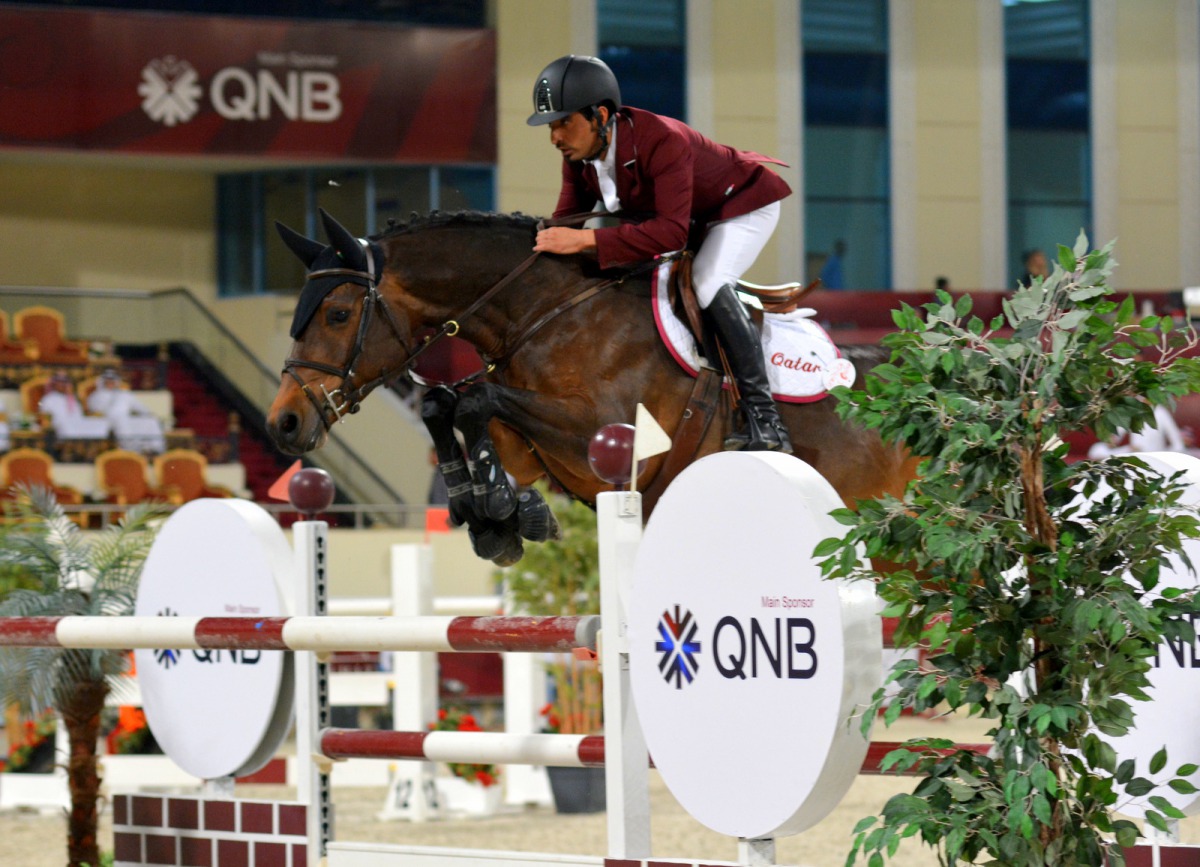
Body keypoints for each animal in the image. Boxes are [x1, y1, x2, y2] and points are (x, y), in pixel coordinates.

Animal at [265, 206, 916, 564]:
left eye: (337, 315)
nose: (283, 423)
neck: (544, 311)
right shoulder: (535, 449)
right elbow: (441, 404)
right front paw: (499, 515)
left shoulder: (606, 436)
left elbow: (473, 398)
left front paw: (496, 507)